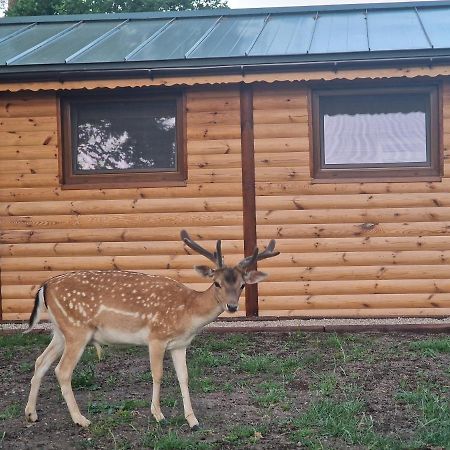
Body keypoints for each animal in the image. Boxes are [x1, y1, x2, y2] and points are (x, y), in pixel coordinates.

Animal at [24, 230, 280, 430]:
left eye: (242, 285)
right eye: (217, 283)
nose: (232, 306)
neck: (187, 313)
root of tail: (45, 286)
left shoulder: (180, 345)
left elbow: (184, 377)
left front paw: (192, 420)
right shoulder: (156, 337)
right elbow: (158, 374)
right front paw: (158, 415)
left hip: (60, 331)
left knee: (40, 361)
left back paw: (31, 414)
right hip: (77, 330)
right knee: (62, 371)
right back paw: (81, 419)